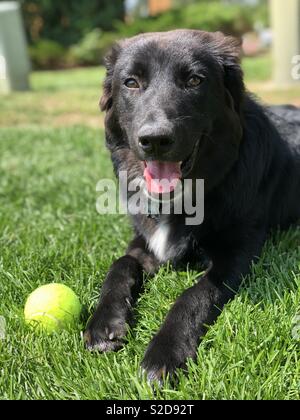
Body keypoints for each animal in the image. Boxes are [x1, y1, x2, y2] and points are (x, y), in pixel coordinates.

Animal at [84, 31, 300, 382]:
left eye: (195, 80)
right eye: (131, 82)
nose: (155, 140)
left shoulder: (236, 254)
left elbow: (194, 295)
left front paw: (165, 352)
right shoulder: (144, 242)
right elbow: (119, 265)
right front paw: (103, 323)